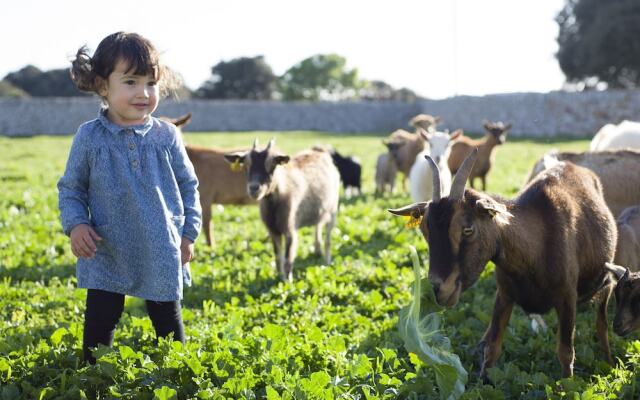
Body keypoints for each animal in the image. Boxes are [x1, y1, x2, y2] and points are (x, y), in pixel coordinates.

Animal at [224, 139, 340, 282]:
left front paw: (287, 281)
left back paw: (327, 261)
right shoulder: (273, 230)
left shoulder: (290, 229)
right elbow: (277, 255)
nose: (254, 188)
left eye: (272, 164)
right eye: (245, 165)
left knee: (328, 238)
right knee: (318, 225)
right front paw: (279, 276)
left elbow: (288, 258)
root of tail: (319, 151)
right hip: (320, 210)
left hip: (333, 209)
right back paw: (318, 251)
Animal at [388, 149, 616, 378]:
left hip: (605, 279)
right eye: (424, 229)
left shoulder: (568, 298)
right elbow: (493, 347)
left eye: (468, 229)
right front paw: (483, 378)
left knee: (602, 321)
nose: (438, 289)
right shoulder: (504, 295)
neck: (538, 246)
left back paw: (609, 361)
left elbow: (566, 352)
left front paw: (566, 382)